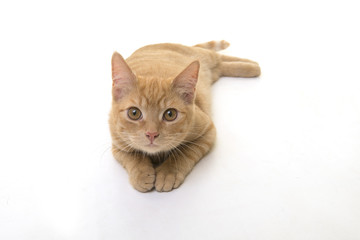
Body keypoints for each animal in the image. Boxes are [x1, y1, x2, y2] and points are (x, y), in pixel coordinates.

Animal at [108, 40, 260, 192]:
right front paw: (141, 174)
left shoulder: (208, 130)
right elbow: (132, 156)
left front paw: (168, 173)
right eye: (134, 113)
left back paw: (253, 66)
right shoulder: (117, 144)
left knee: (218, 57)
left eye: (170, 114)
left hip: (205, 57)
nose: (151, 134)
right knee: (220, 65)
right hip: (214, 70)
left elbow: (185, 152)